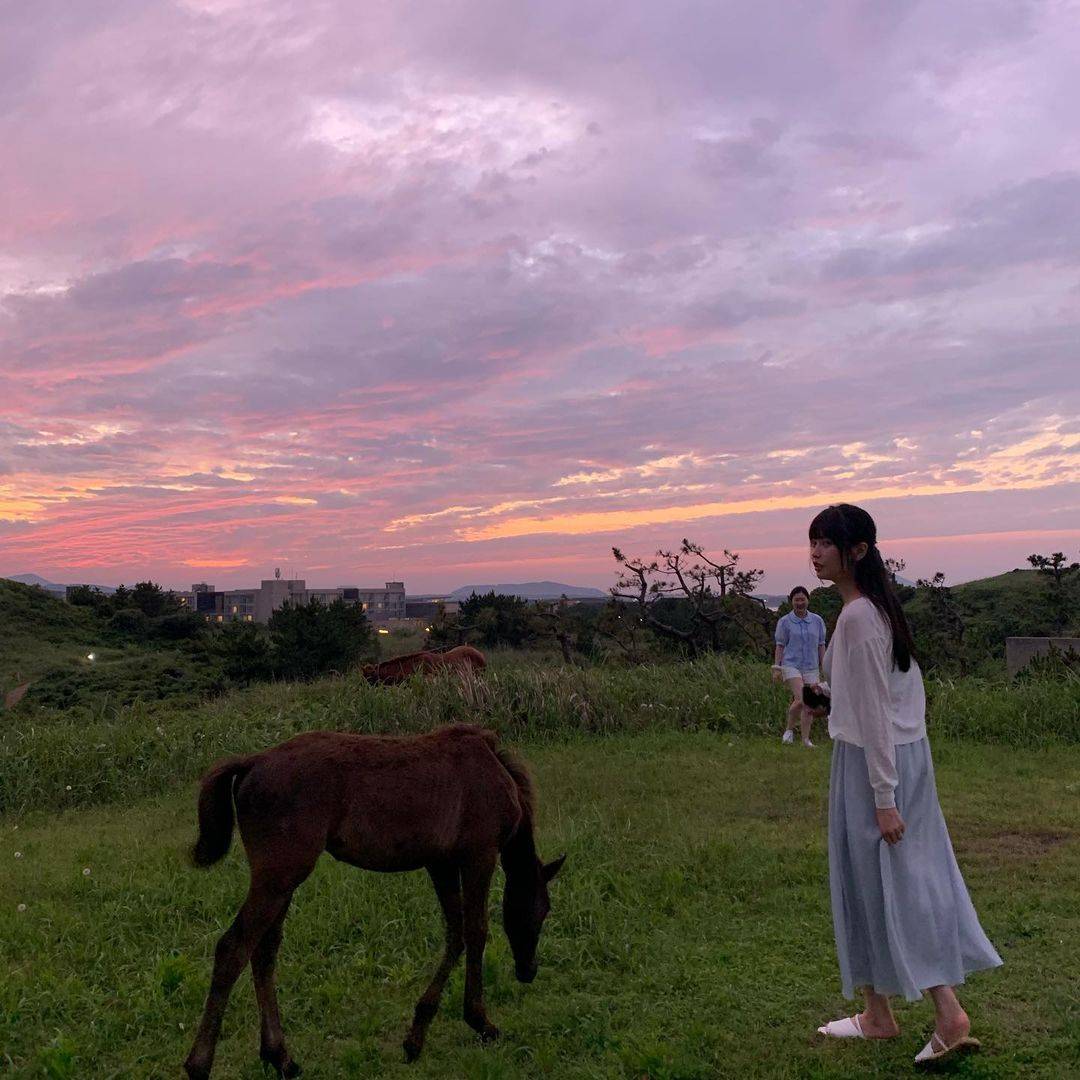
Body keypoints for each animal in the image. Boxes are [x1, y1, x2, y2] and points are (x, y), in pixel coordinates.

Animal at [182, 725, 565, 1080]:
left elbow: (454, 933)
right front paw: (480, 1021)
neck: (495, 774)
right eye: (543, 910)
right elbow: (476, 931)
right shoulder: (479, 856)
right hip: (278, 876)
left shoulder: (440, 863)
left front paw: (416, 1035)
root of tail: (252, 762)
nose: (528, 970)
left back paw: (281, 1057)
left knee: (264, 951)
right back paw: (199, 1064)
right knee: (233, 948)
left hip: (281, 882)